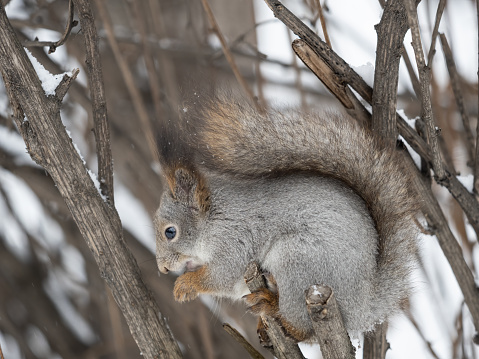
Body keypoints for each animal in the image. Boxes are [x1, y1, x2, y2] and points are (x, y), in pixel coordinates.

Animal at [155, 93, 420, 344]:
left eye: (170, 232)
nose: (163, 269)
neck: (214, 219)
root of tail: (362, 306)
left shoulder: (234, 239)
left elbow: (221, 275)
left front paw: (185, 285)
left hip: (297, 263)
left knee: (302, 328)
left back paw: (271, 305)